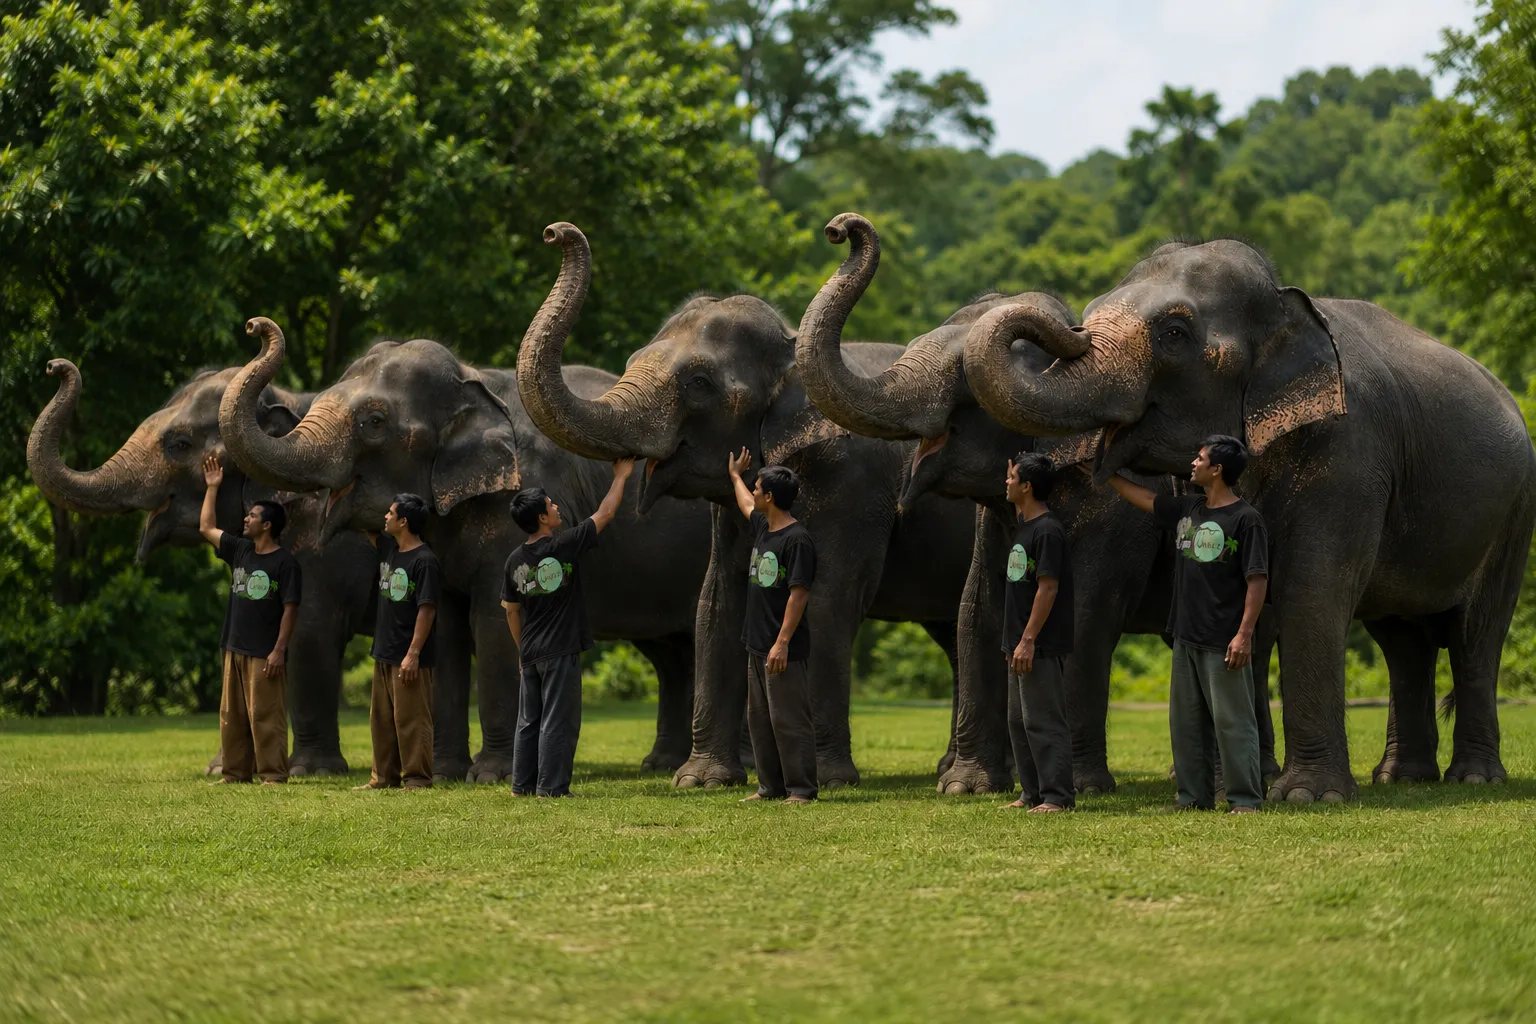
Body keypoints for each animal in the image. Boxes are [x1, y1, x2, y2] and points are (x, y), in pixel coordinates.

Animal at [26, 359, 375, 775]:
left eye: (179, 444)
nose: (54, 366)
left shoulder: (320, 546)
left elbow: (307, 632)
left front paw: (310, 771)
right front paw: (221, 770)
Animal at [218, 317, 711, 781]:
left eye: (374, 423)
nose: (254, 326)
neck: (473, 381)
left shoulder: (517, 504)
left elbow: (495, 622)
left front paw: (491, 775)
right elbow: (444, 627)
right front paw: (444, 773)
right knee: (671, 654)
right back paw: (662, 764)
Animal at [515, 222, 975, 790]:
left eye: (698, 383)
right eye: (629, 364)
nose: (554, 233)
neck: (792, 348)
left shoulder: (849, 481)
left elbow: (824, 597)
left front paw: (824, 778)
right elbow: (718, 600)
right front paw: (699, 781)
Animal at [794, 213, 1281, 794]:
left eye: (965, 378)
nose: (840, 227)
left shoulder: (1111, 513)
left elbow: (1087, 609)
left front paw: (1083, 786)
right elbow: (978, 611)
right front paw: (966, 787)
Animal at [963, 238, 1536, 801]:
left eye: (1174, 334)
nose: (1061, 323)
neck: (1287, 305)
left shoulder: (1351, 453)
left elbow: (1312, 588)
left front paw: (1306, 796)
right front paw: (1236, 788)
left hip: (1514, 514)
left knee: (1475, 637)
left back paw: (1473, 778)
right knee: (1403, 642)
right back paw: (1402, 778)